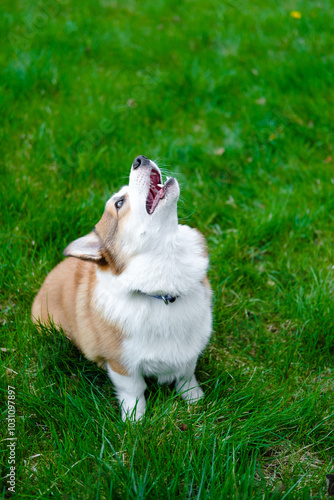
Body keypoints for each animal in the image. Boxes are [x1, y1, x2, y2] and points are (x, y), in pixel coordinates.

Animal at [32, 154, 213, 420]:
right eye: (119, 203)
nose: (140, 158)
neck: (161, 294)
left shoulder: (190, 350)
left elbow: (186, 375)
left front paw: (194, 399)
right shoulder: (121, 363)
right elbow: (133, 389)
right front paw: (134, 419)